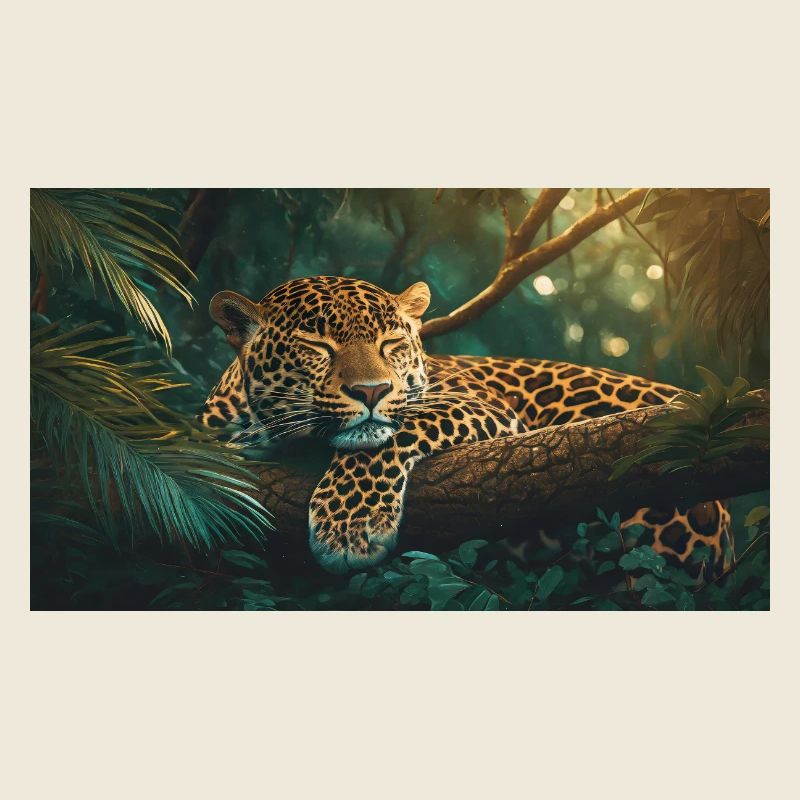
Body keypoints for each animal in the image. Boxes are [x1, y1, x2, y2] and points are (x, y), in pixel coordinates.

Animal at [198, 275, 731, 577]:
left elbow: (387, 436)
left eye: (391, 342)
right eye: (316, 346)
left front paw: (350, 526)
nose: (372, 391)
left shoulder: (480, 404)